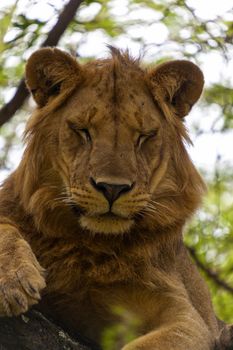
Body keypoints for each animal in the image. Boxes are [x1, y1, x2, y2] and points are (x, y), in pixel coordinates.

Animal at [0, 47, 230, 350]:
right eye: (83, 131)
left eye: (144, 137)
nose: (112, 188)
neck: (88, 245)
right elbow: (5, 227)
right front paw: (13, 280)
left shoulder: (188, 318)